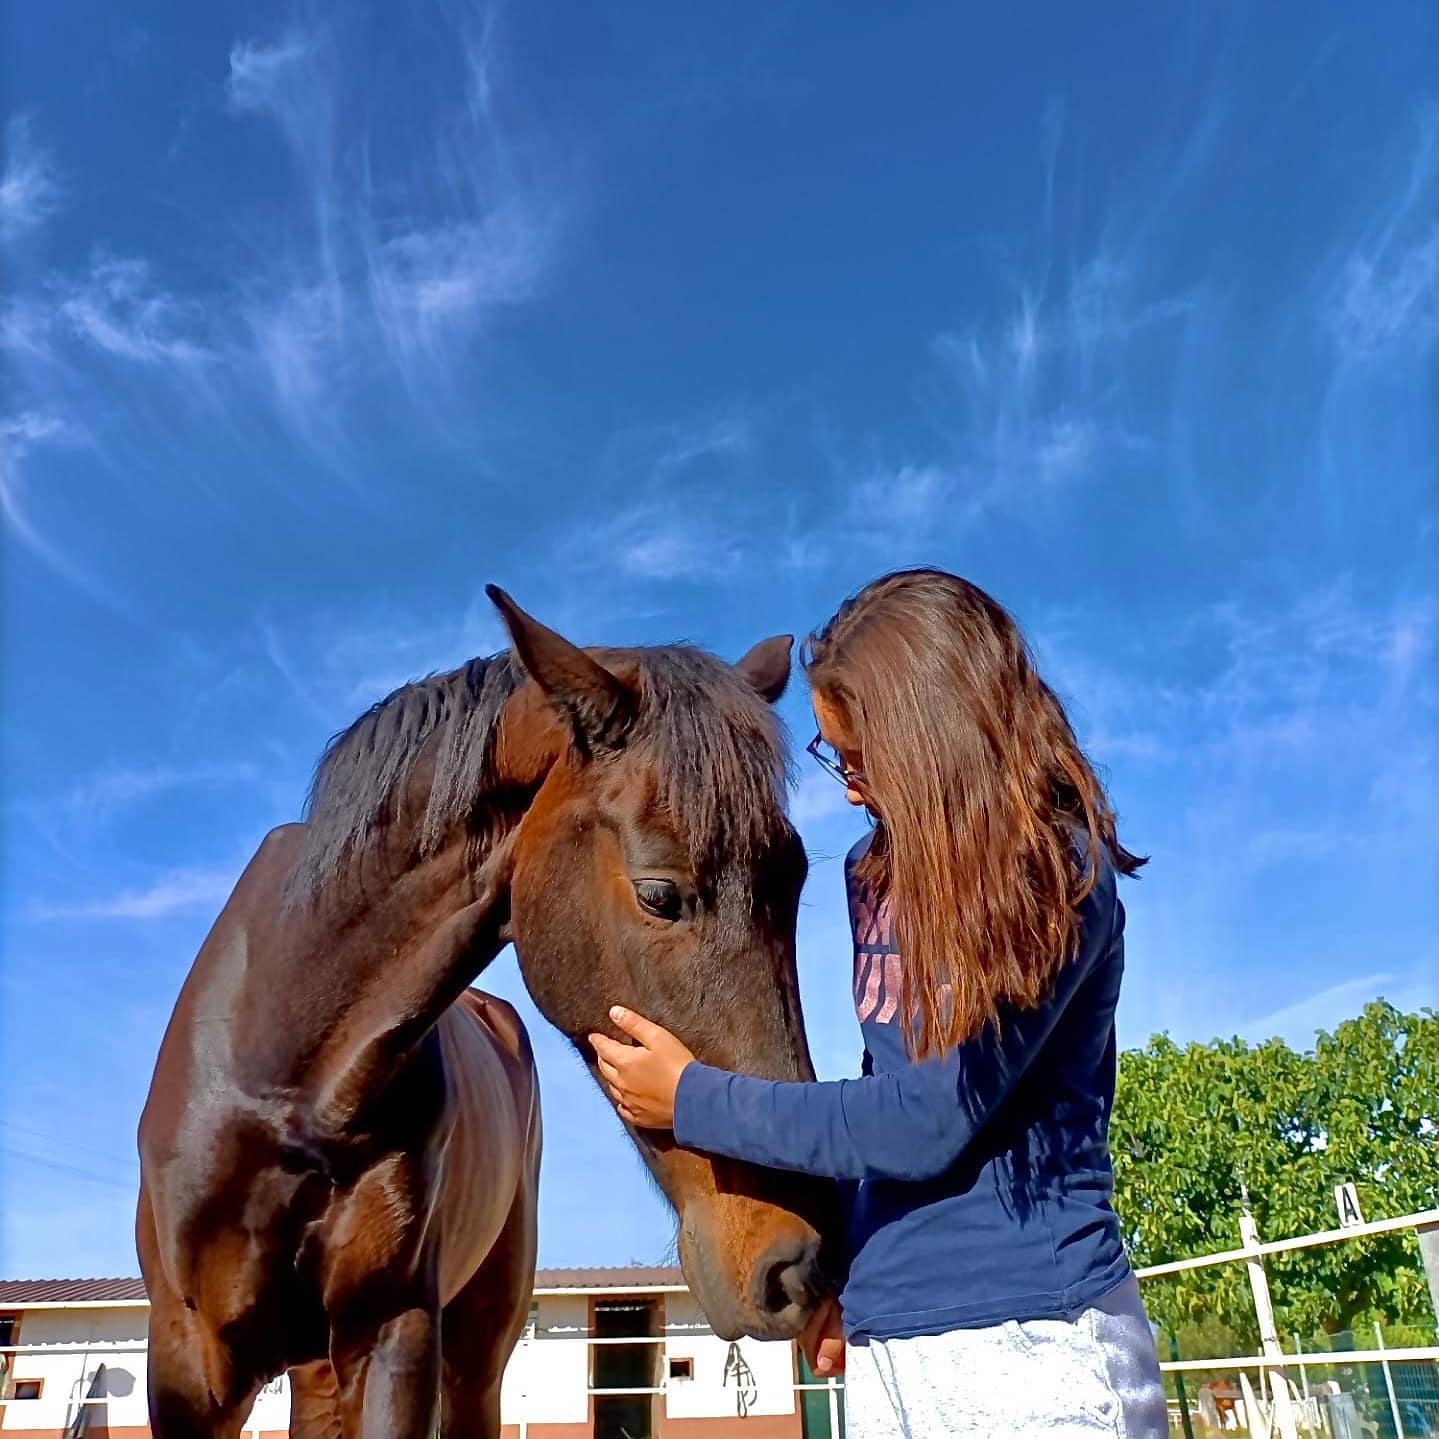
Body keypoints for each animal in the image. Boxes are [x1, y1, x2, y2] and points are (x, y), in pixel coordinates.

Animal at [136, 586, 839, 1439]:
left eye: (794, 884)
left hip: (474, 1347)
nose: (804, 1262)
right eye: (658, 893)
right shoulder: (188, 1358)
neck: (281, 1071)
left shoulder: (391, 1337)